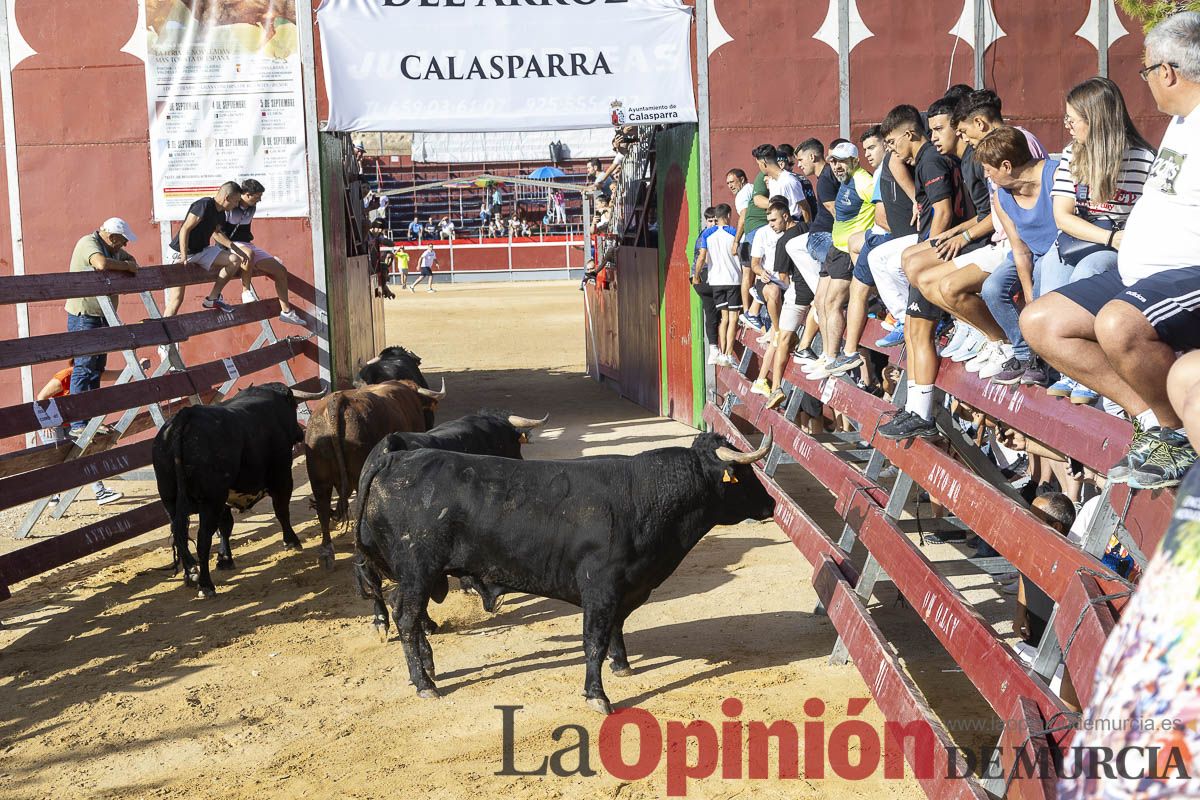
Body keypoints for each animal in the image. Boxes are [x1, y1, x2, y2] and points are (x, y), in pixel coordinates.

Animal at [152, 383, 328, 599]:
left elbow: (225, 526)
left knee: (181, 535)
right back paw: (206, 585)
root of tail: (184, 418)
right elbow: (281, 511)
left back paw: (190, 575)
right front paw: (291, 541)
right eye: (293, 406)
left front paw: (225, 559)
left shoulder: (224, 498)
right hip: (210, 500)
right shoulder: (282, 477)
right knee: (202, 539)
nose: (299, 433)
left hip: (171, 501)